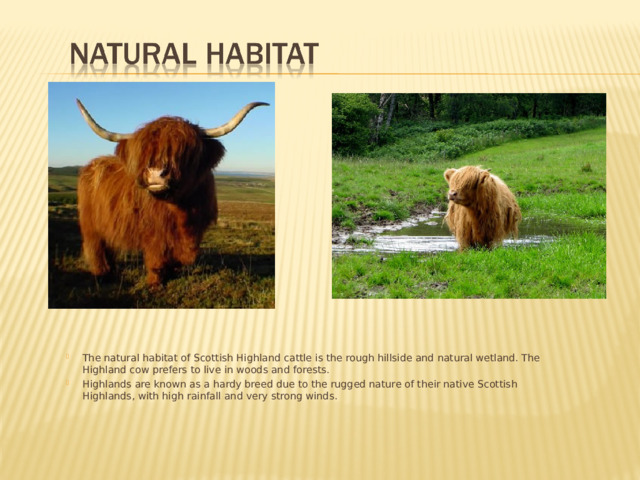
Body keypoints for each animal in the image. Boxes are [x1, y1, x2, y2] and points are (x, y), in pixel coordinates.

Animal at [75, 99, 268, 286]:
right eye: (144, 153)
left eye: (184, 151)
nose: (155, 174)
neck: (183, 210)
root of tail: (93, 164)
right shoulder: (154, 234)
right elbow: (156, 258)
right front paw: (155, 283)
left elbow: (176, 259)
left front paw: (172, 273)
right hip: (91, 226)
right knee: (95, 248)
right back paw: (102, 274)